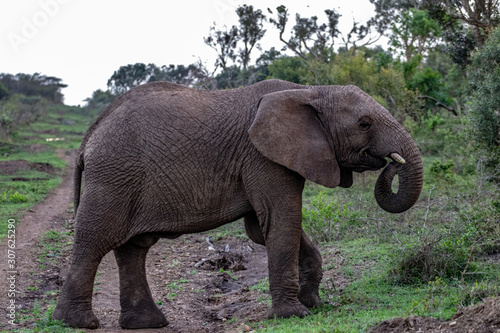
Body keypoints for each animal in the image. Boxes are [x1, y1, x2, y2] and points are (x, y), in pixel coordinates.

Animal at [53, 79, 422, 328]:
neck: (309, 91)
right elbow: (282, 220)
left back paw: (147, 323)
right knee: (95, 240)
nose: (392, 161)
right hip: (114, 175)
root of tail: (90, 135)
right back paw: (77, 323)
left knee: (133, 248)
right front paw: (293, 315)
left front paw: (315, 303)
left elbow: (266, 228)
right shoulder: (262, 156)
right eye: (364, 123)